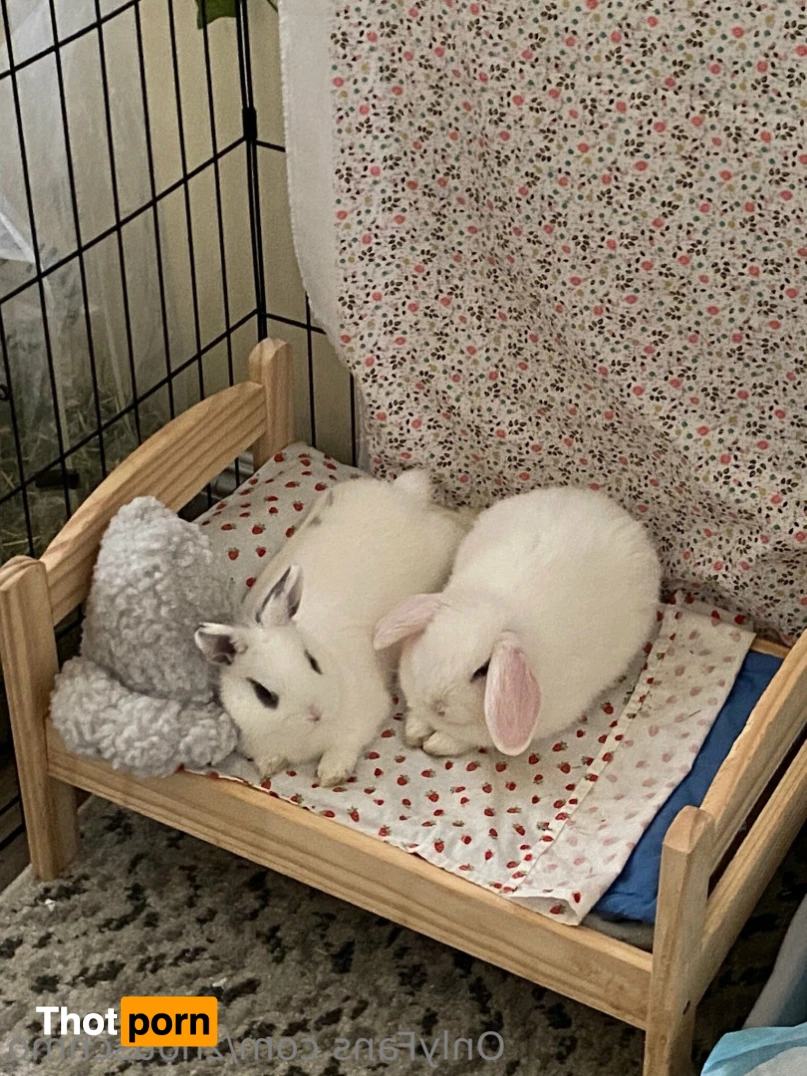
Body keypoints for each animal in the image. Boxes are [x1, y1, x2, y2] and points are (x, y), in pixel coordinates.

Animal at [194, 471, 470, 786]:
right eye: (263, 694)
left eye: (312, 661)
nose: (315, 712)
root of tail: (401, 493)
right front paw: (270, 765)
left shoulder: (367, 711)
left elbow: (346, 743)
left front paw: (331, 774)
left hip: (441, 542)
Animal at [373, 486, 662, 758]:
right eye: (430, 637)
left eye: (482, 670)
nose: (436, 703)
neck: (497, 607)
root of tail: (611, 508)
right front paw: (415, 732)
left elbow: (459, 740)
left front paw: (435, 744)